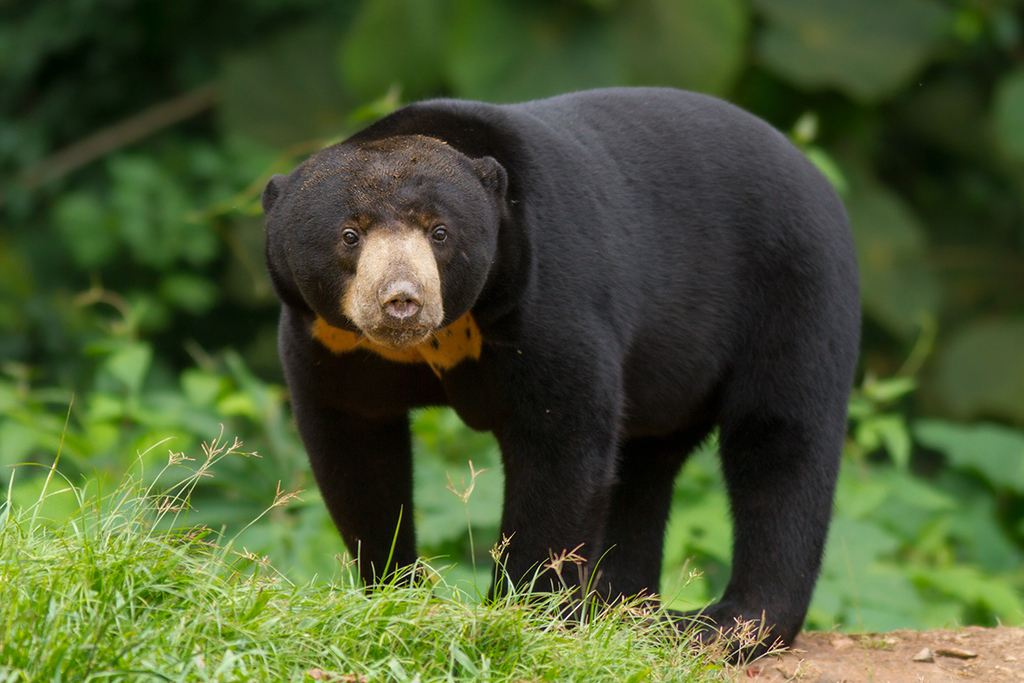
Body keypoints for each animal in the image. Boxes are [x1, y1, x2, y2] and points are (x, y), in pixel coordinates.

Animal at [260, 85, 860, 655]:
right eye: (350, 234)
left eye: (439, 232)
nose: (402, 302)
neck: (446, 332)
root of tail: (815, 174)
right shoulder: (329, 341)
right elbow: (355, 449)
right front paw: (395, 593)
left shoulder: (550, 294)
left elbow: (560, 442)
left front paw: (522, 614)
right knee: (645, 463)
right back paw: (622, 607)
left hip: (793, 287)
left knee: (779, 441)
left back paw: (725, 626)